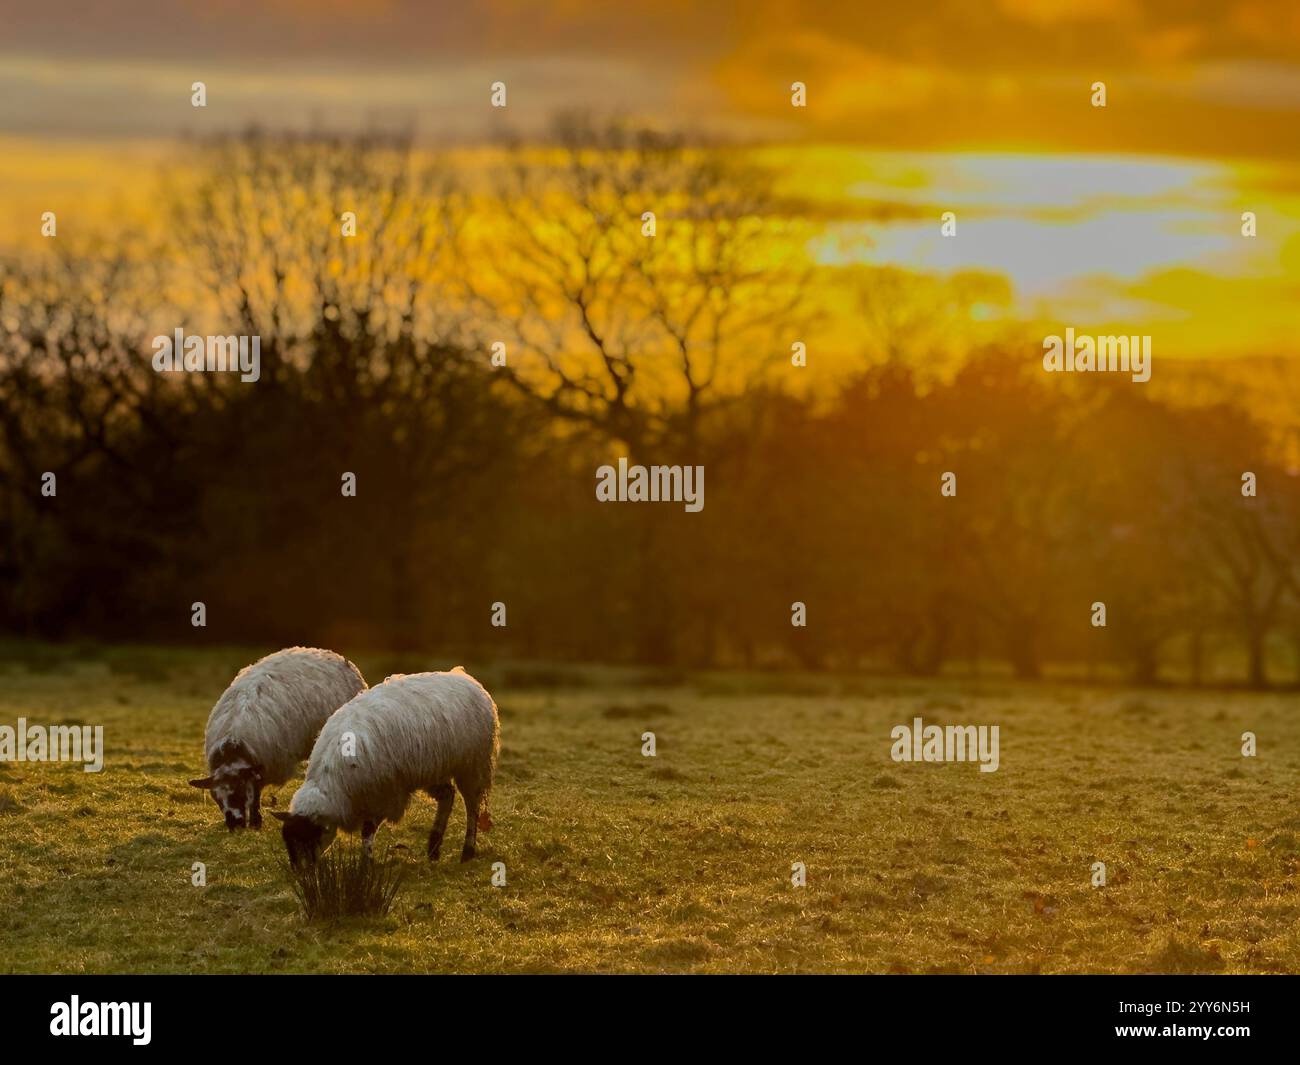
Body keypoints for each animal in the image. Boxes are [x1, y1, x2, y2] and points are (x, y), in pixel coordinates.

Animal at [189, 647, 367, 830]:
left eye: (239, 791)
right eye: (216, 798)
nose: (234, 824)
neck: (233, 746)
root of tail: (328, 652)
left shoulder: (263, 765)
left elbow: (255, 795)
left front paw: (256, 822)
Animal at [273, 667, 499, 866]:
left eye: (308, 837)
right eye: (288, 841)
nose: (300, 872)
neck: (334, 781)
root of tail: (464, 677)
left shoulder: (384, 795)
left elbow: (367, 831)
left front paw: (366, 863)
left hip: (473, 764)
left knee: (472, 807)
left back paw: (468, 850)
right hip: (431, 769)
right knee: (448, 795)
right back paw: (434, 848)